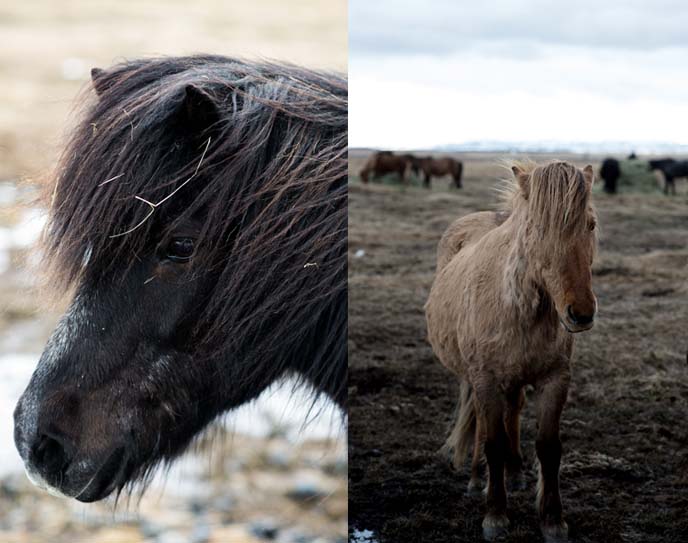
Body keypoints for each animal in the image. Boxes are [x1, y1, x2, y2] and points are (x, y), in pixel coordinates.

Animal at [424, 163, 596, 543]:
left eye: (591, 224)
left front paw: (552, 520)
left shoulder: (556, 379)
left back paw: (514, 473)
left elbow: (548, 446)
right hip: (475, 378)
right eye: (537, 226)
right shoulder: (486, 380)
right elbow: (492, 441)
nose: (580, 313)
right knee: (480, 419)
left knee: (513, 410)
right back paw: (477, 478)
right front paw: (496, 516)